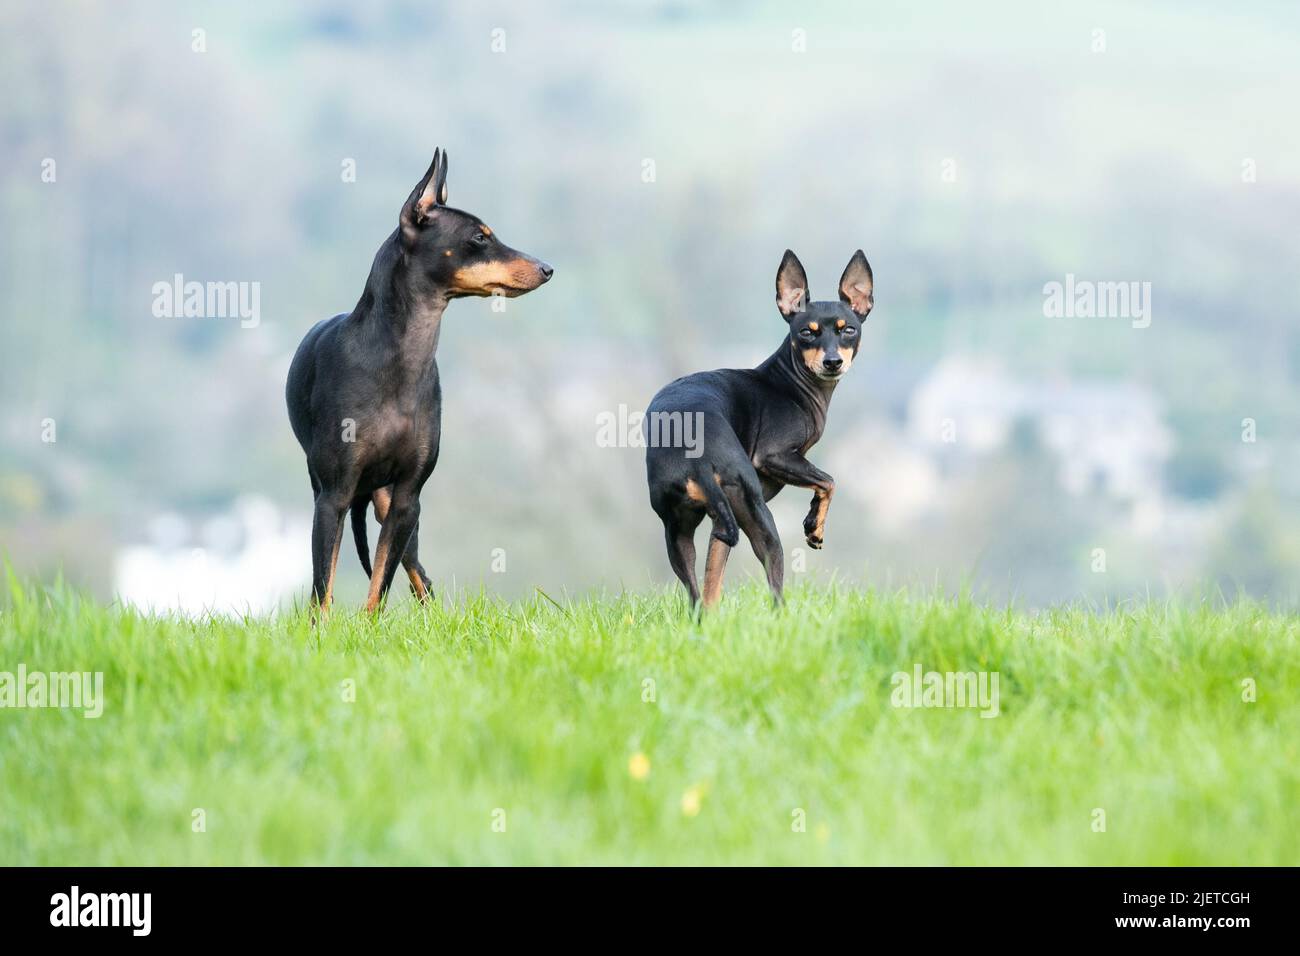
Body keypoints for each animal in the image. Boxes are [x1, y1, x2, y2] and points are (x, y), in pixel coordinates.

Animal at [287, 149, 551, 613]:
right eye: (479, 237)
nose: (547, 268)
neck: (398, 358)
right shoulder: (333, 496)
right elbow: (323, 590)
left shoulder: (408, 498)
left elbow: (379, 586)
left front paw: (368, 625)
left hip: (390, 505)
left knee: (419, 576)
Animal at [642, 251, 873, 608]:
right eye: (806, 333)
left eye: (847, 329)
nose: (833, 362)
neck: (790, 381)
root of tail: (697, 455)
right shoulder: (774, 455)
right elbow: (829, 481)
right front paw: (814, 527)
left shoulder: (722, 523)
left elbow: (713, 579)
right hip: (761, 521)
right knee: (775, 589)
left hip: (681, 530)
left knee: (698, 597)